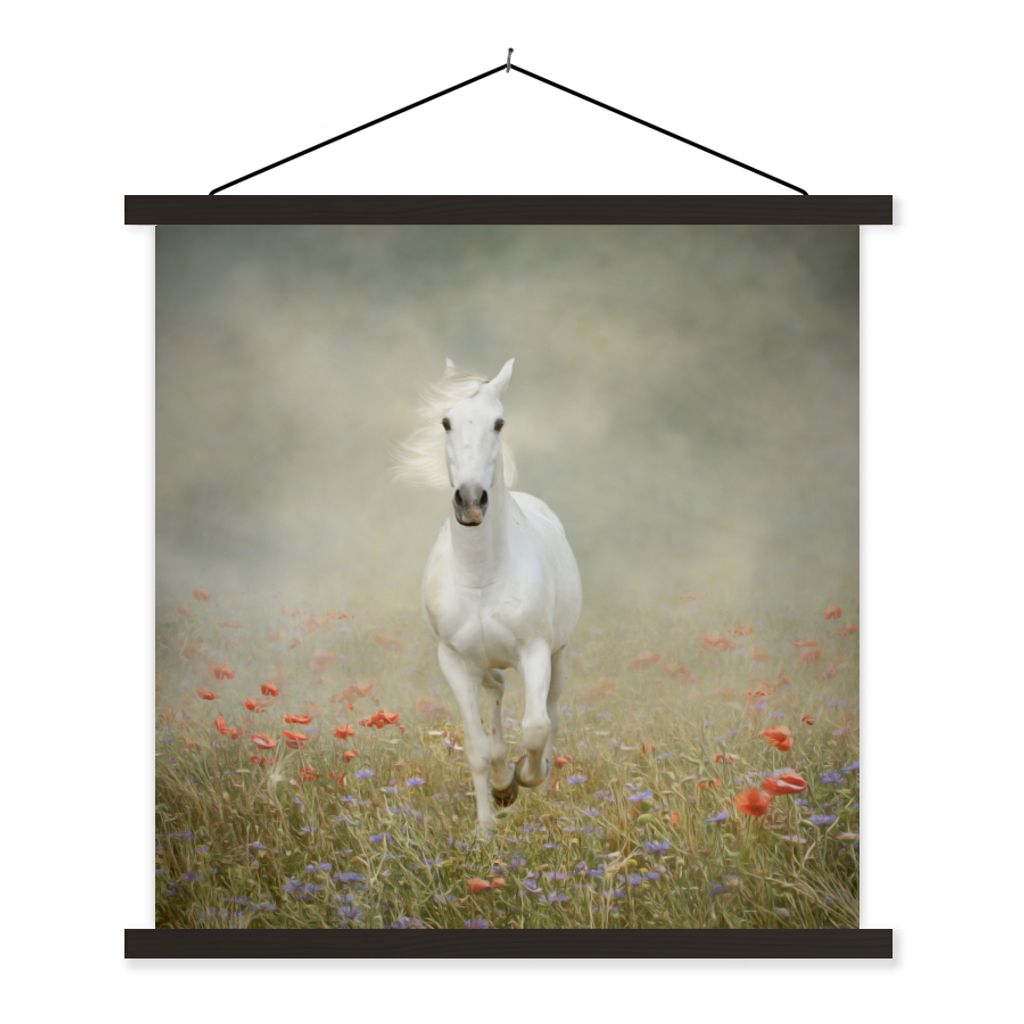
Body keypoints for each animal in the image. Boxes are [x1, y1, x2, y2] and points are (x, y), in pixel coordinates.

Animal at [394, 358, 582, 835]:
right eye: (445, 421)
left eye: (499, 422)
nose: (471, 500)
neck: (482, 577)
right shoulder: (454, 662)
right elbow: (477, 747)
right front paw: (488, 818)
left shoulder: (534, 651)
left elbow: (535, 726)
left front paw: (525, 778)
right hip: (482, 661)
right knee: (495, 691)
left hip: (558, 655)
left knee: (552, 712)